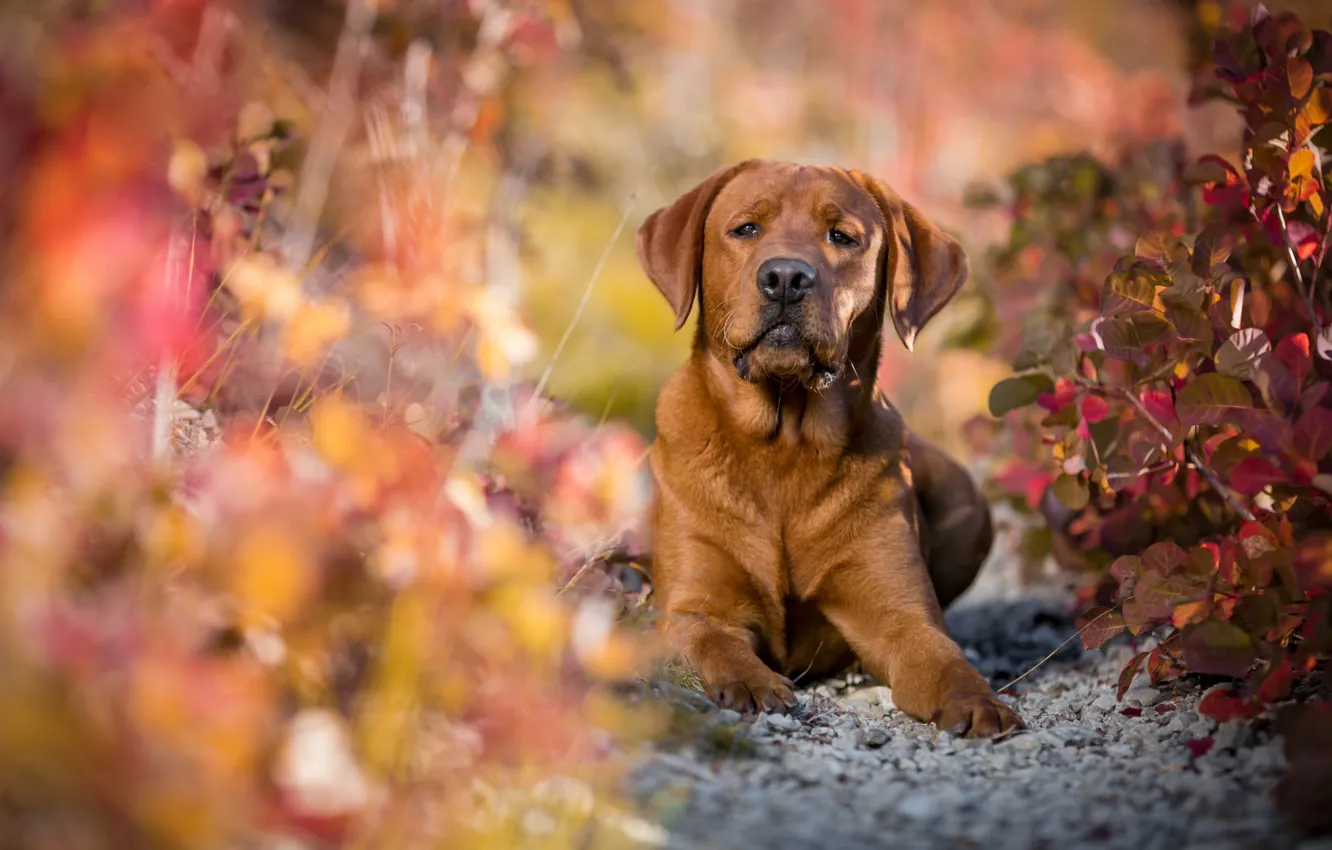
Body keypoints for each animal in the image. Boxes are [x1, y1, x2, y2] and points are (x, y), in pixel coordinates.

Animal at [634, 159, 1017, 740]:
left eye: (841, 236)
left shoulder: (902, 615)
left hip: (968, 502)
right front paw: (752, 681)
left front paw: (978, 698)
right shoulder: (692, 609)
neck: (784, 444)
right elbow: (716, 643)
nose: (786, 277)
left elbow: (945, 658)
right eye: (746, 228)